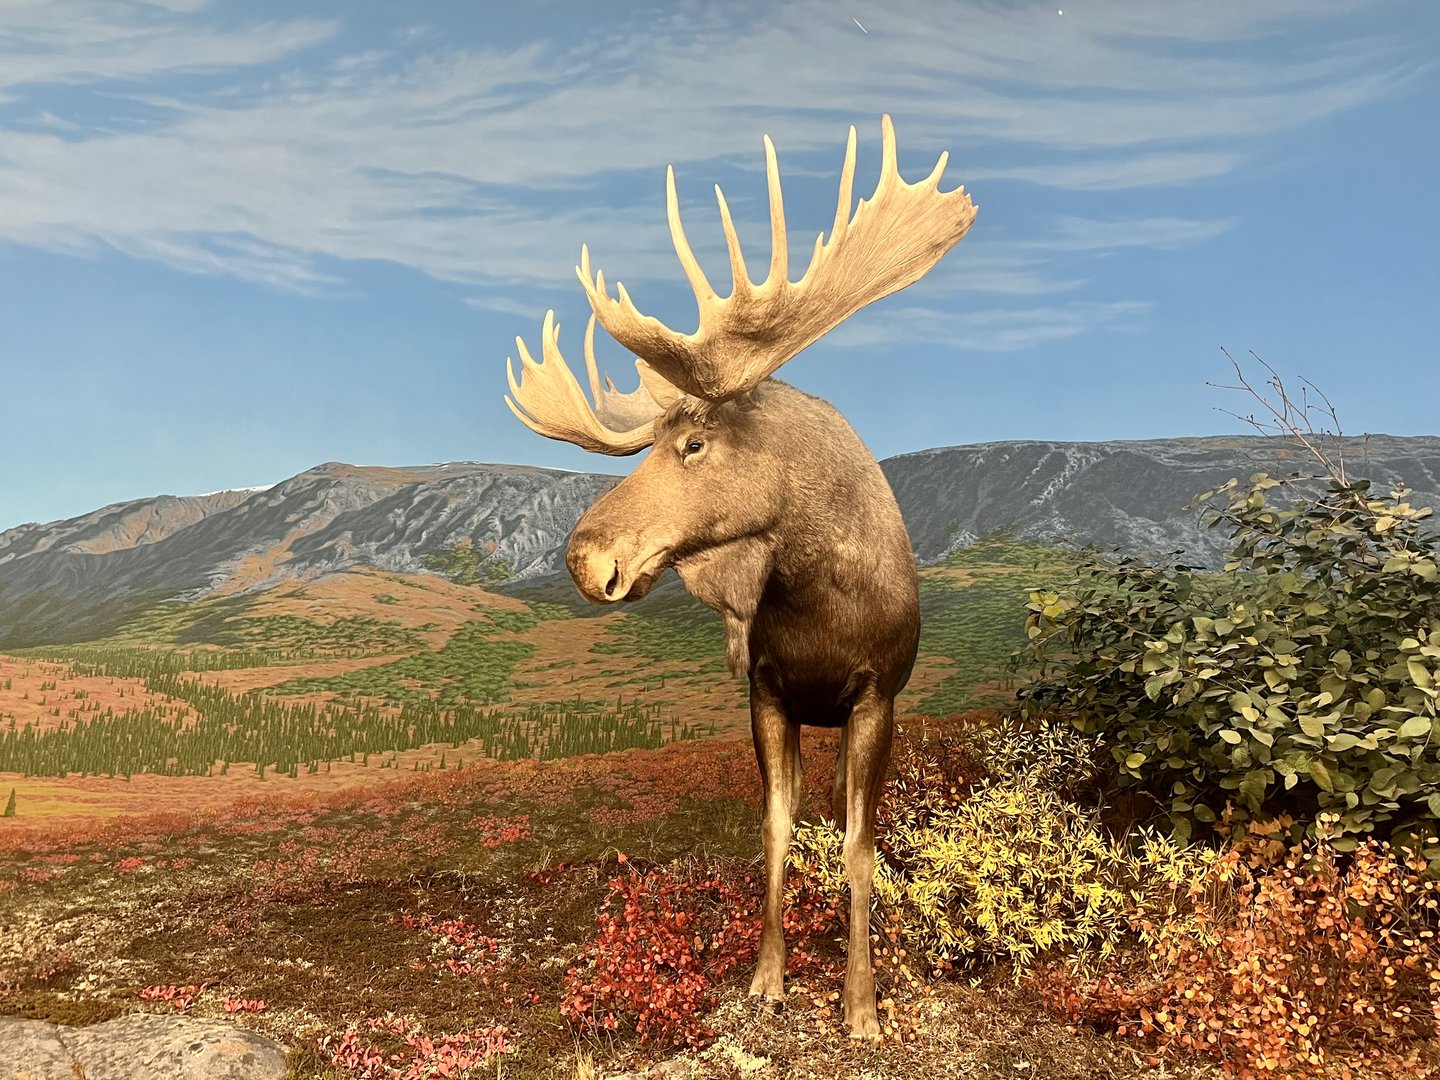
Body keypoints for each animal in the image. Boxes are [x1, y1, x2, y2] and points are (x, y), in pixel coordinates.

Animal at [502, 115, 977, 1037]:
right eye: (650, 442)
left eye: (694, 442)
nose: (585, 556)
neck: (823, 602)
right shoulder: (765, 688)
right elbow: (775, 829)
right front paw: (767, 978)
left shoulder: (877, 696)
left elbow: (860, 848)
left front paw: (861, 1006)